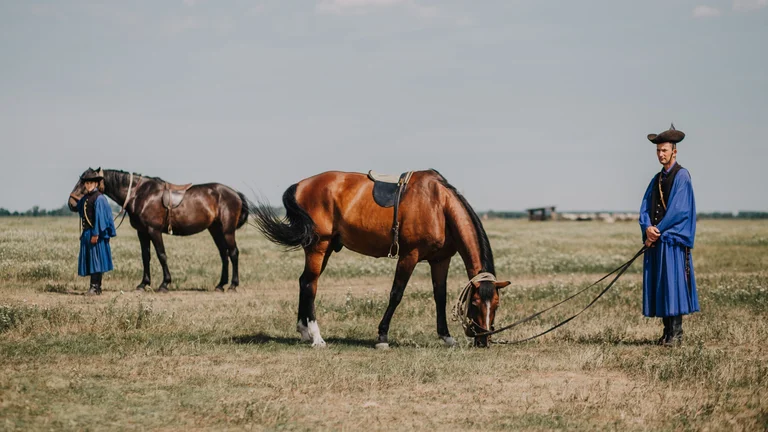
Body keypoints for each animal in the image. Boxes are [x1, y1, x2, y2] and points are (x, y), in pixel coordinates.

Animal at [68, 168, 249, 293]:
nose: (71, 203)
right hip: (215, 230)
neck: (139, 194)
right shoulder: (142, 232)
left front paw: (164, 284)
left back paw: (233, 285)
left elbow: (161, 255)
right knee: (224, 254)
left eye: (85, 182)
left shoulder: (153, 230)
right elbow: (145, 257)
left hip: (227, 231)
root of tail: (235, 193)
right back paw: (220, 285)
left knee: (233, 253)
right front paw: (143, 284)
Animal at [250, 169, 510, 348]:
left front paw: (446, 337)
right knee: (310, 285)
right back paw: (316, 336)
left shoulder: (440, 260)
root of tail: (302, 185)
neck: (439, 206)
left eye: (496, 304)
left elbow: (440, 297)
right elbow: (396, 294)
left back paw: (304, 331)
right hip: (318, 246)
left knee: (304, 282)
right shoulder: (409, 256)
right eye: (474, 303)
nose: (484, 340)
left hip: (324, 248)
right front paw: (383, 336)